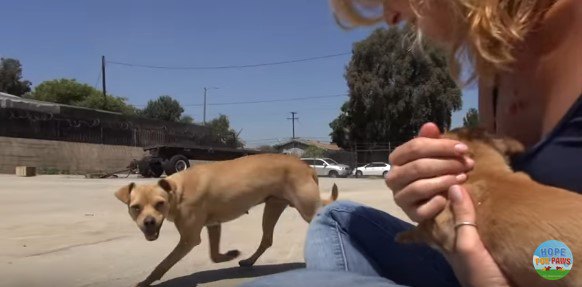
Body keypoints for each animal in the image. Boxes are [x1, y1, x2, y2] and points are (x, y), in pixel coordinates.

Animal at [114, 154, 340, 286]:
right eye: (135, 208)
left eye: (159, 204)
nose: (149, 222)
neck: (177, 191)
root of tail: (307, 166)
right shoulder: (213, 226)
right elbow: (214, 255)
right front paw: (230, 255)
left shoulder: (189, 239)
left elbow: (164, 263)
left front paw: (147, 281)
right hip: (272, 208)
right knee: (267, 239)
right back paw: (248, 261)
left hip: (306, 209)